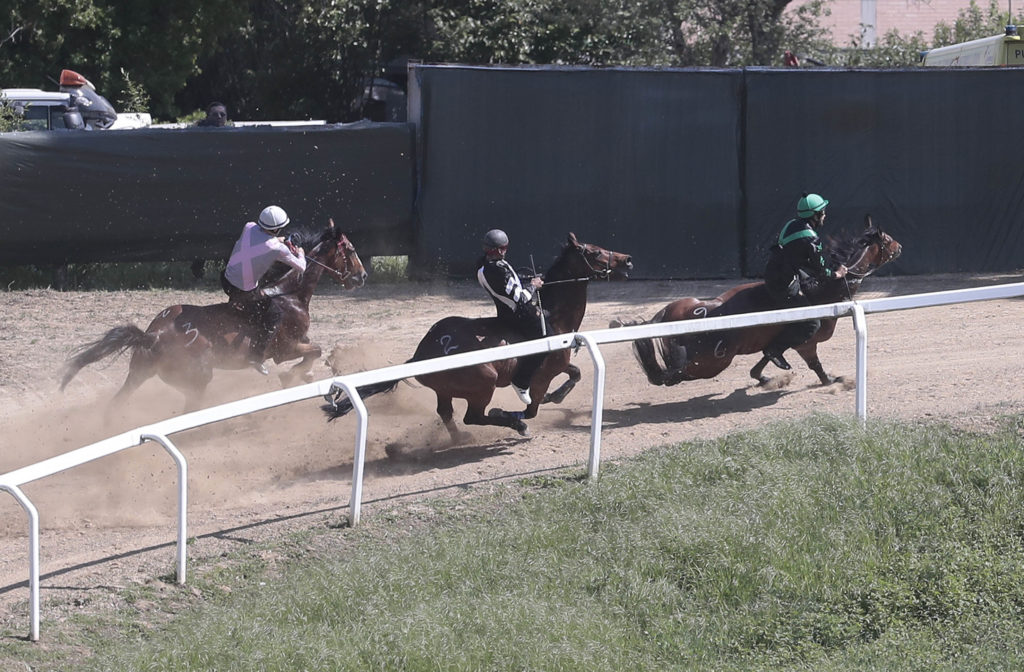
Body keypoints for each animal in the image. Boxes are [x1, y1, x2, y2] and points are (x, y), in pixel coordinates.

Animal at [60, 218, 368, 411]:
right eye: (351, 249)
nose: (362, 276)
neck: (288, 294)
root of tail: (153, 335)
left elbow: (315, 353)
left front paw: (305, 374)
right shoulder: (285, 349)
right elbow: (314, 352)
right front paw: (292, 376)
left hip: (140, 374)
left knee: (116, 405)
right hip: (197, 380)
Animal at [327, 233, 630, 438]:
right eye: (595, 252)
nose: (627, 260)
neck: (551, 316)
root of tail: (423, 354)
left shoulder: (557, 363)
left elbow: (575, 373)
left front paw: (555, 397)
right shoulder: (539, 376)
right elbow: (532, 407)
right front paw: (518, 414)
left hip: (445, 390)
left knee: (447, 413)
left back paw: (459, 439)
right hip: (484, 384)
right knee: (474, 416)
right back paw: (510, 424)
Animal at [614, 218, 897, 389]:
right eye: (887, 239)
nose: (901, 246)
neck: (823, 291)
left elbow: (767, 358)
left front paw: (764, 377)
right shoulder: (807, 341)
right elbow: (814, 366)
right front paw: (834, 381)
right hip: (711, 363)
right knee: (671, 375)